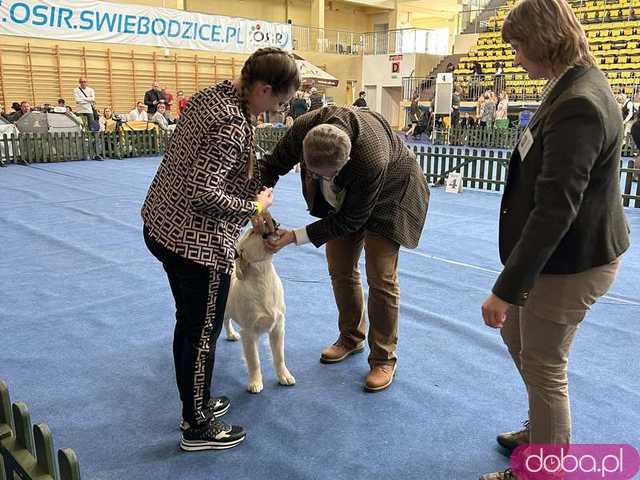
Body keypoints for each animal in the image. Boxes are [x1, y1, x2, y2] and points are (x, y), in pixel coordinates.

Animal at [224, 227, 296, 392]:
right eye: (252, 233)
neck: (263, 276)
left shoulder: (278, 327)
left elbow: (279, 357)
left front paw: (284, 376)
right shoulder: (249, 332)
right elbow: (254, 361)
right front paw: (255, 382)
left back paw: (231, 334)